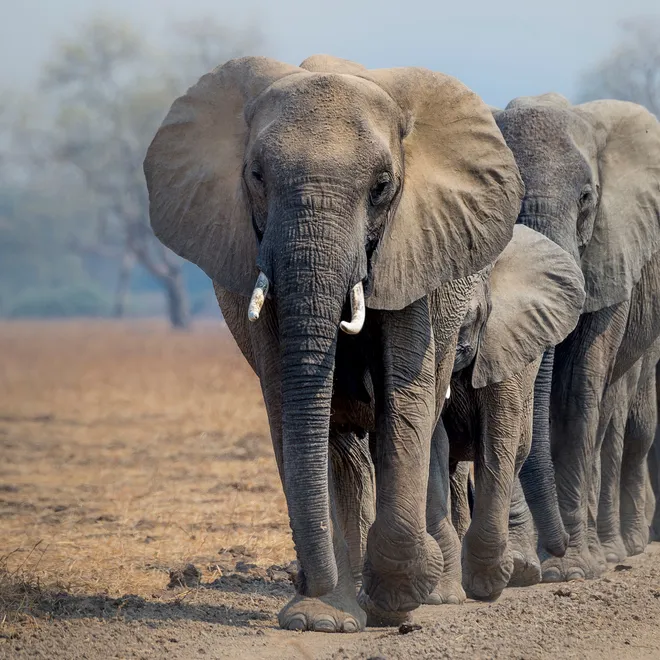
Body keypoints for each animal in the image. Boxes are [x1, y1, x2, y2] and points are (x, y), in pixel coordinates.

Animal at [143, 54, 524, 631]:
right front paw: (319, 618)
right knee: (339, 443)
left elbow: (404, 398)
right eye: (256, 177)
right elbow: (291, 404)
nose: (307, 581)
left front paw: (396, 598)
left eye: (383, 186)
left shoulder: (412, 249)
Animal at [435, 224, 584, 600]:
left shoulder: (503, 342)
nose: (562, 545)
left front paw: (487, 582)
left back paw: (520, 569)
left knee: (515, 450)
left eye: (470, 319)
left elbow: (498, 437)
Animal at [494, 93, 660, 582]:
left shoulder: (613, 250)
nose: (559, 545)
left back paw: (620, 548)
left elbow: (574, 388)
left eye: (587, 198)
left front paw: (568, 571)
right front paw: (524, 567)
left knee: (626, 425)